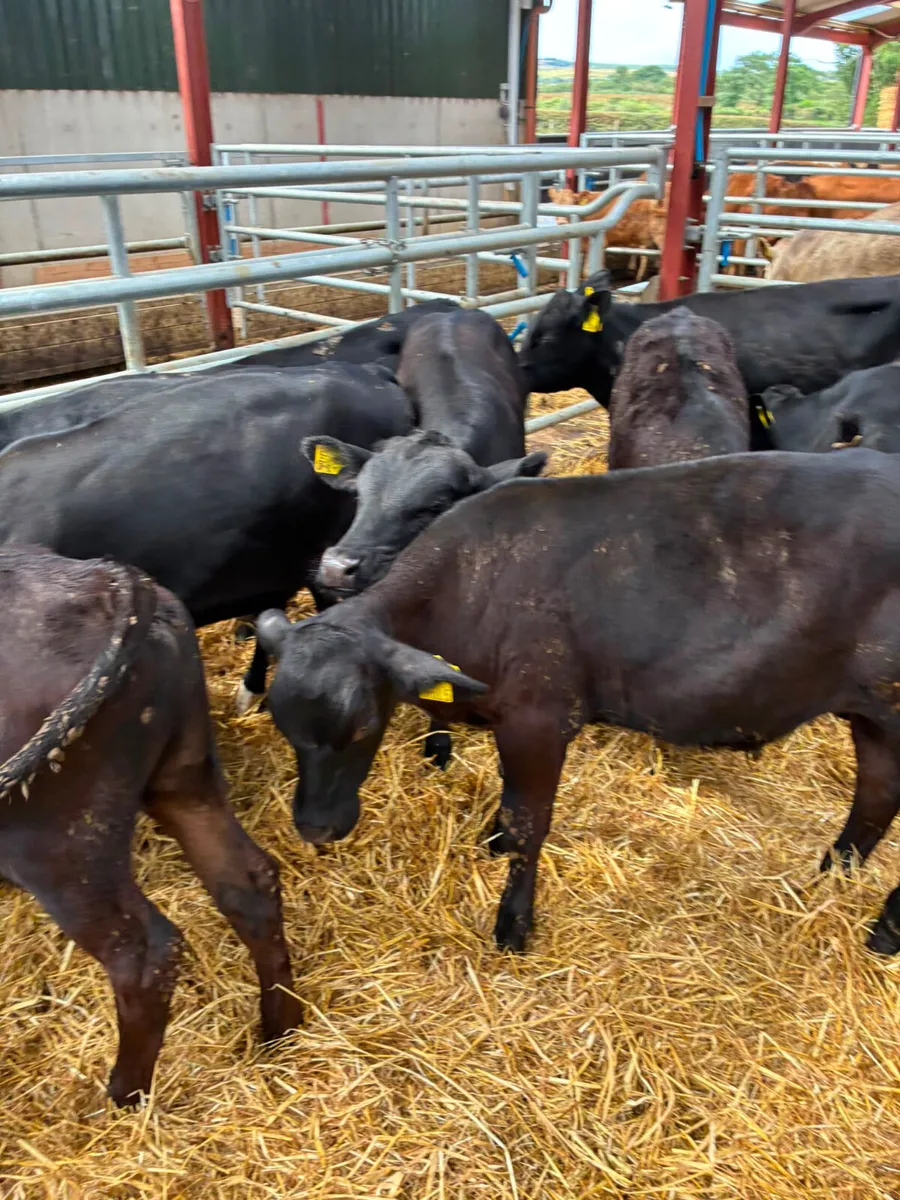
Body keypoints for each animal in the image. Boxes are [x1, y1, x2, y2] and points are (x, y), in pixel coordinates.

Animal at [0, 548, 300, 1105]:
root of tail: (109, 581)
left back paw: (120, 1098)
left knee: (142, 954)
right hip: (184, 780)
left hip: (58, 848)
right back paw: (280, 1027)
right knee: (248, 882)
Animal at [254, 451, 900, 957]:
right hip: (873, 715)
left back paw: (885, 931)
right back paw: (830, 881)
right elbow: (510, 807)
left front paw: (513, 923)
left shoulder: (539, 718)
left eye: (365, 725)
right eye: (283, 725)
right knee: (876, 795)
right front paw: (493, 844)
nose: (315, 826)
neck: (467, 585)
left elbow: (529, 821)